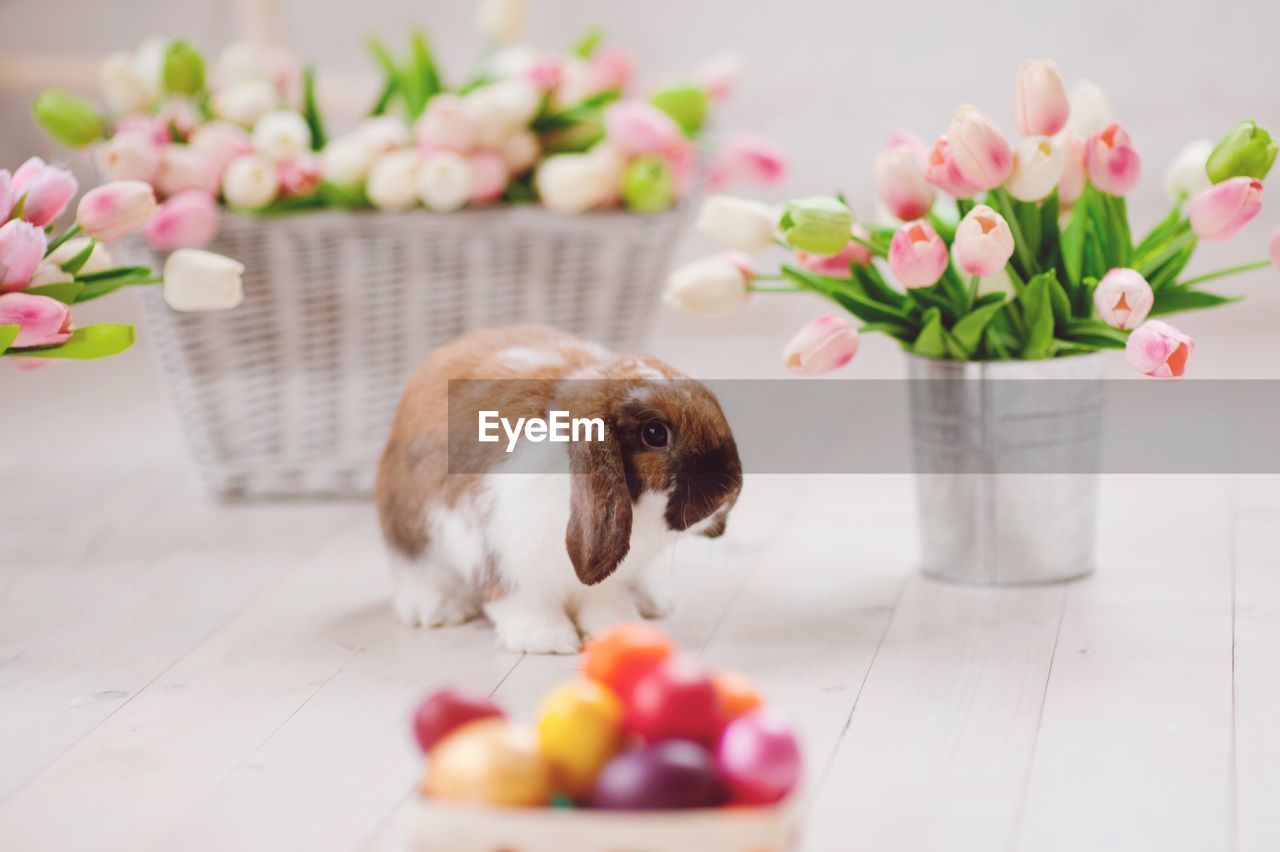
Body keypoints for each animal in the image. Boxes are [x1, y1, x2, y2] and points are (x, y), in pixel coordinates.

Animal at [373, 323, 747, 649]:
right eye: (655, 433)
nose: (728, 489)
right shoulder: (505, 561)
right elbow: (522, 604)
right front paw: (547, 641)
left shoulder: (610, 582)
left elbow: (606, 603)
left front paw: (619, 630)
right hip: (411, 538)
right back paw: (437, 612)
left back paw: (654, 602)